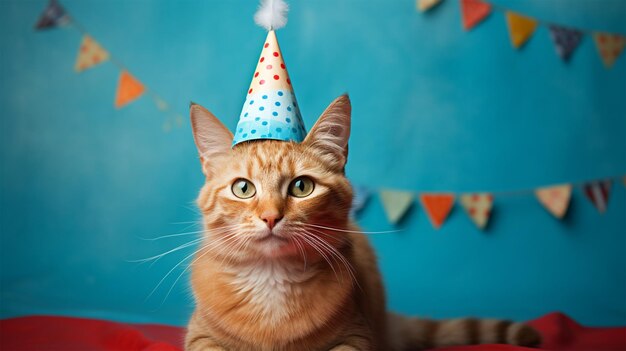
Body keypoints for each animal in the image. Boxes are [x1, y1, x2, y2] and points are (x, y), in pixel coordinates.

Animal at [183, 95, 540, 350]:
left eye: (302, 187)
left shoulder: (356, 335)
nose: (271, 216)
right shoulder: (200, 337)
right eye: (243, 188)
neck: (272, 279)